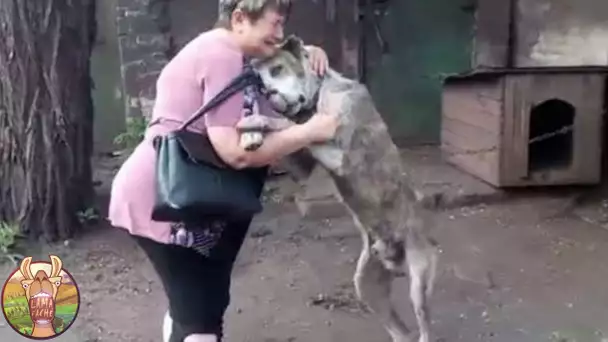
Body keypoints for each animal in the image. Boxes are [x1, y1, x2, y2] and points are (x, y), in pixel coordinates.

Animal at [239, 35, 442, 342]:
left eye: (277, 69)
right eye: (260, 82)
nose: (269, 94)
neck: (319, 95)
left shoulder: (340, 155)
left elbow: (290, 125)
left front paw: (255, 122)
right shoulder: (300, 164)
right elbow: (288, 133)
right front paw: (250, 133)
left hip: (419, 286)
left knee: (424, 327)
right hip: (367, 286)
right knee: (400, 331)